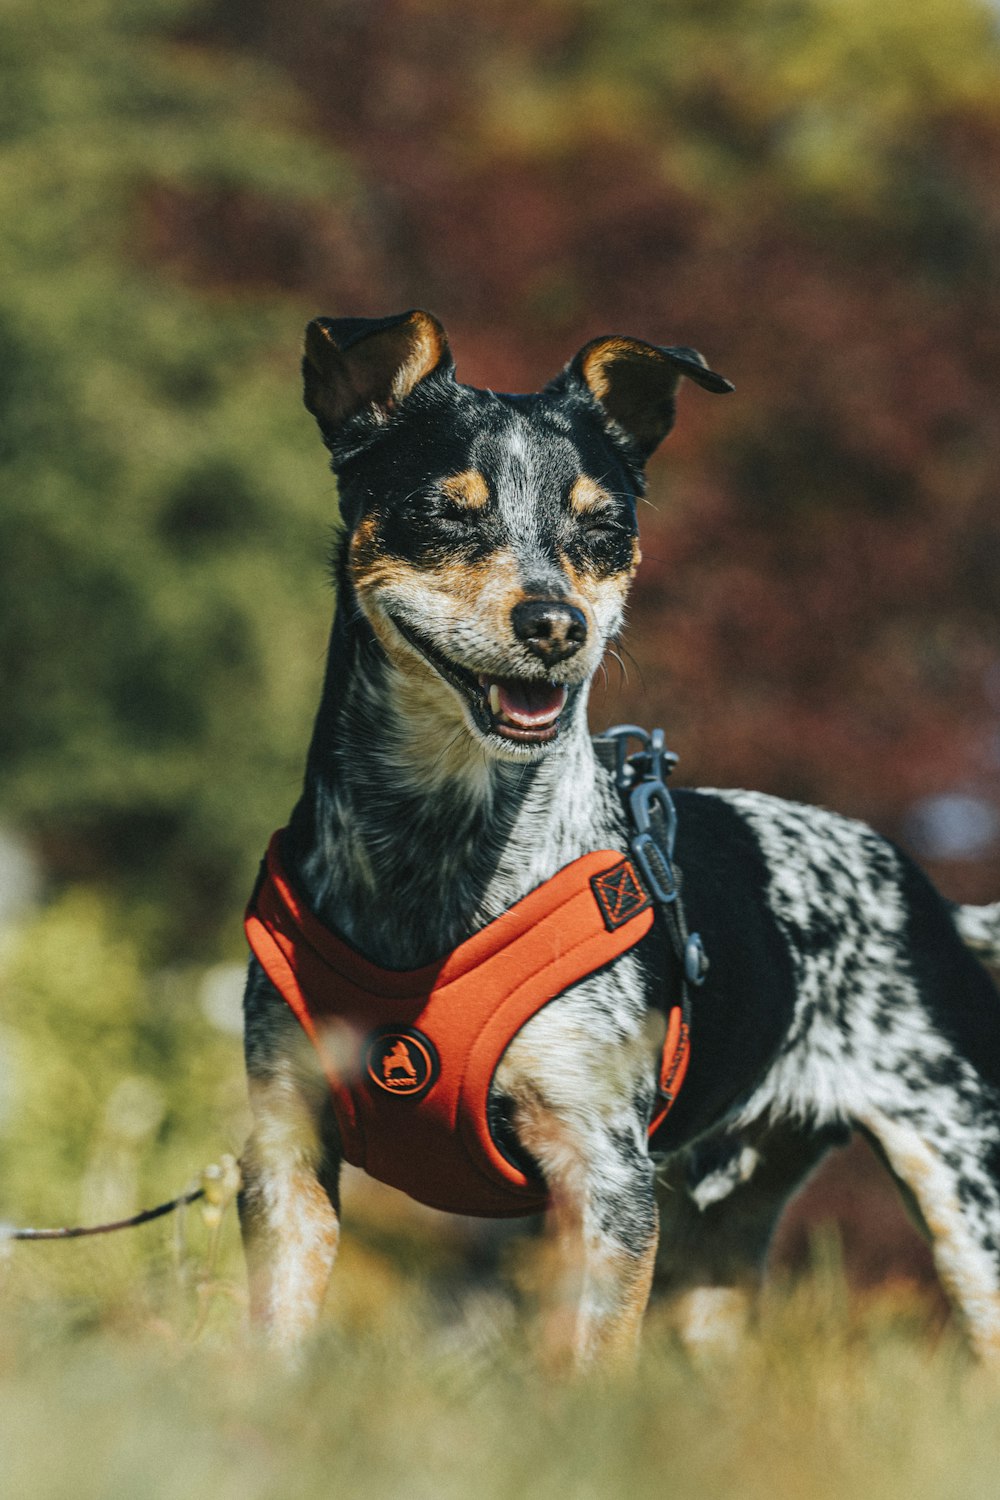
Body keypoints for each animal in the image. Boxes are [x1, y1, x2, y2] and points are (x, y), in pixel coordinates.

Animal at [236, 310, 1000, 1368]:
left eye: (605, 534)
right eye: (444, 515)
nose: (556, 623)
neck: (437, 842)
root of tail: (933, 900)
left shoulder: (603, 1174)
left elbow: (589, 1365)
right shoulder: (287, 1142)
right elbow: (274, 1333)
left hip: (962, 1189)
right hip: (718, 1237)